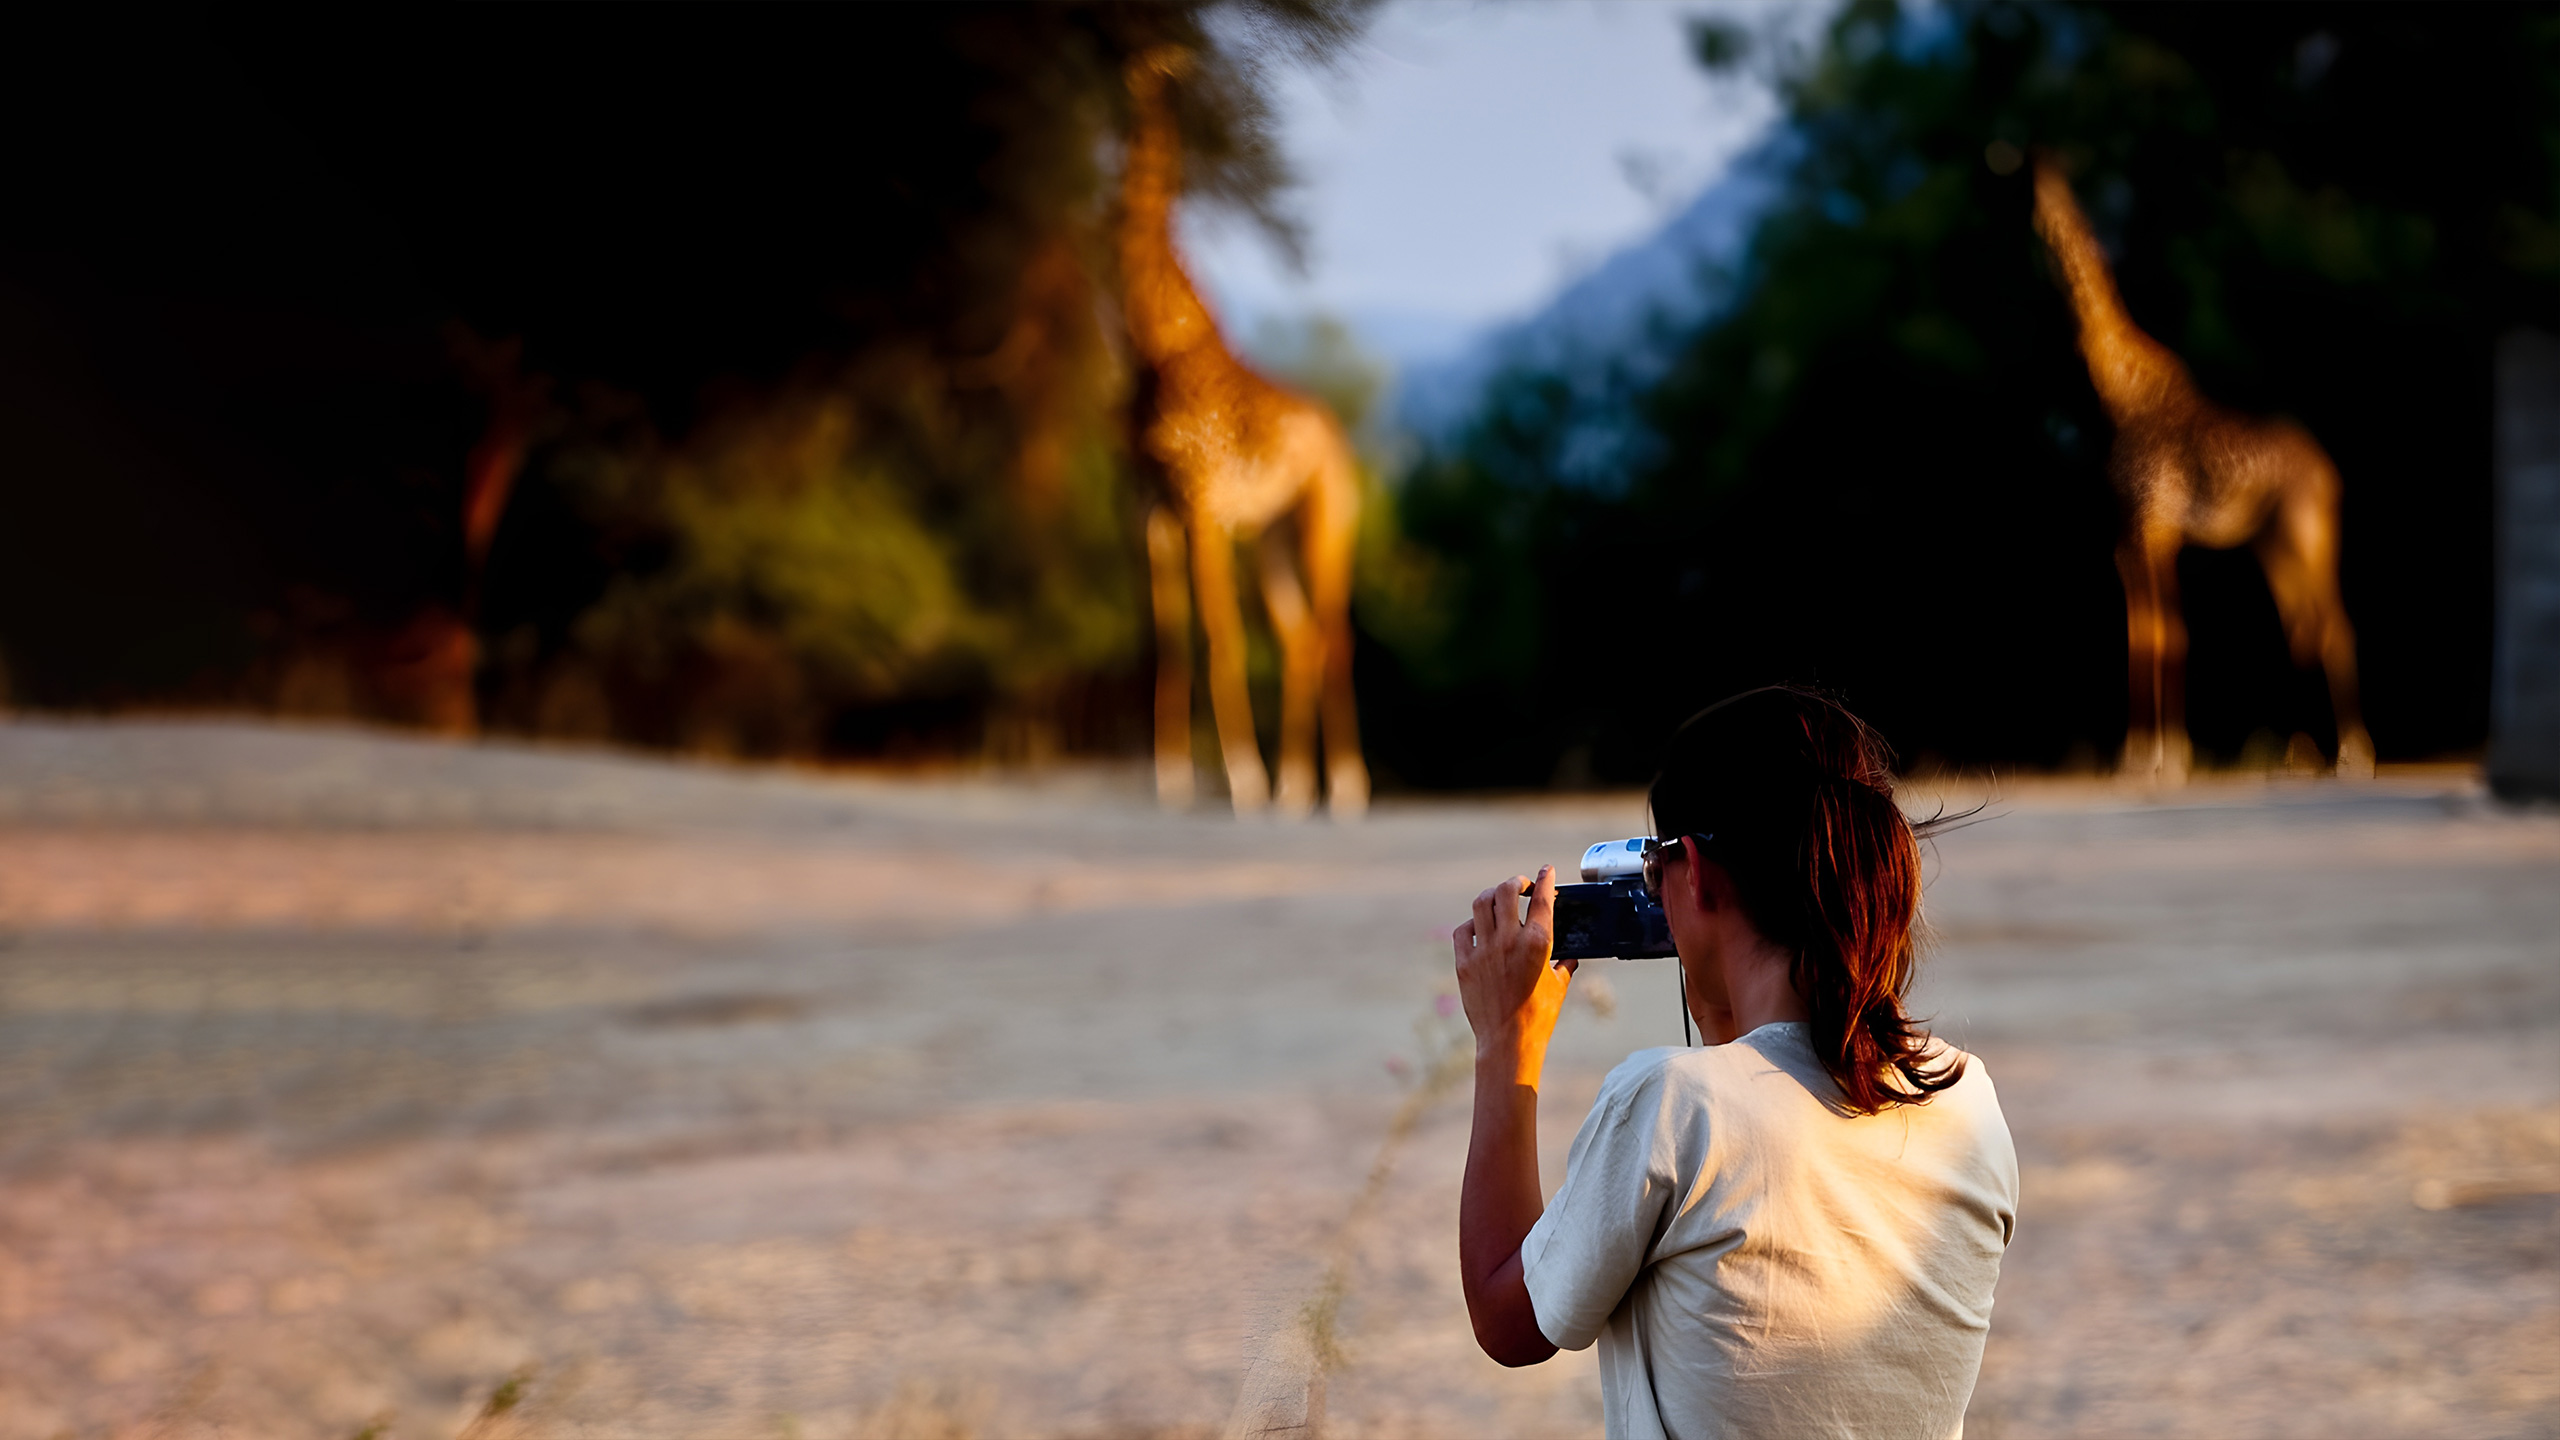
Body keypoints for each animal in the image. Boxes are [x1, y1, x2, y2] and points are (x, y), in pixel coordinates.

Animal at [1120, 47, 1368, 818]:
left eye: (1156, 62)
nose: (1121, 66)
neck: (1152, 339)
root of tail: (1342, 446)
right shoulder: (1149, 506)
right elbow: (1164, 639)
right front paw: (1167, 780)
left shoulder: (1201, 500)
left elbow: (1217, 637)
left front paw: (1241, 782)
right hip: (1272, 536)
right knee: (1300, 638)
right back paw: (1296, 788)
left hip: (1325, 521)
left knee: (1334, 636)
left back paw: (1345, 789)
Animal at [2033, 156, 2375, 783]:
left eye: (2053, 185)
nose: (2045, 220)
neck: (2118, 391)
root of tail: (2329, 472)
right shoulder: (2126, 537)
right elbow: (2142, 635)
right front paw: (2139, 757)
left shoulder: (2157, 527)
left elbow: (2170, 636)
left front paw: (2166, 760)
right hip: (2271, 542)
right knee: (2302, 629)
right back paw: (2297, 755)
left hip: (2308, 530)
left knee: (2336, 626)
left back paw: (2353, 757)